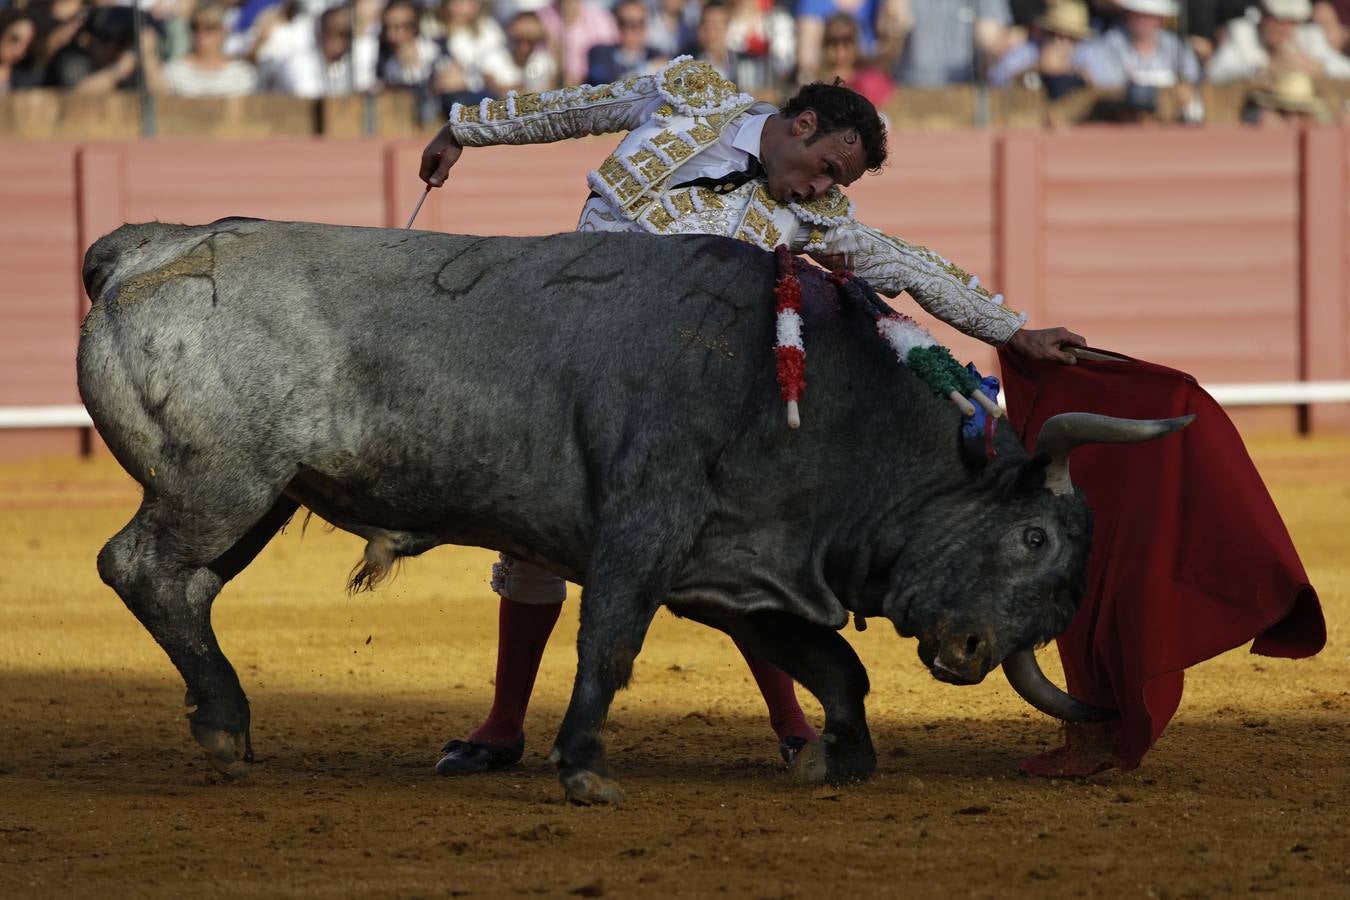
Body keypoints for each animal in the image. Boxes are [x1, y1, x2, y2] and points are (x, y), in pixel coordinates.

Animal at [78, 219, 1188, 809]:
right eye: (1033, 537)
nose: (969, 651)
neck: (813, 396)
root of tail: (141, 250)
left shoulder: (741, 575)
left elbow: (836, 664)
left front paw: (840, 760)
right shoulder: (642, 535)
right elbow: (607, 645)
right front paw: (583, 770)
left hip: (254, 502)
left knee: (181, 586)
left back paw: (223, 721)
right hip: (222, 483)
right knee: (138, 568)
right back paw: (226, 725)